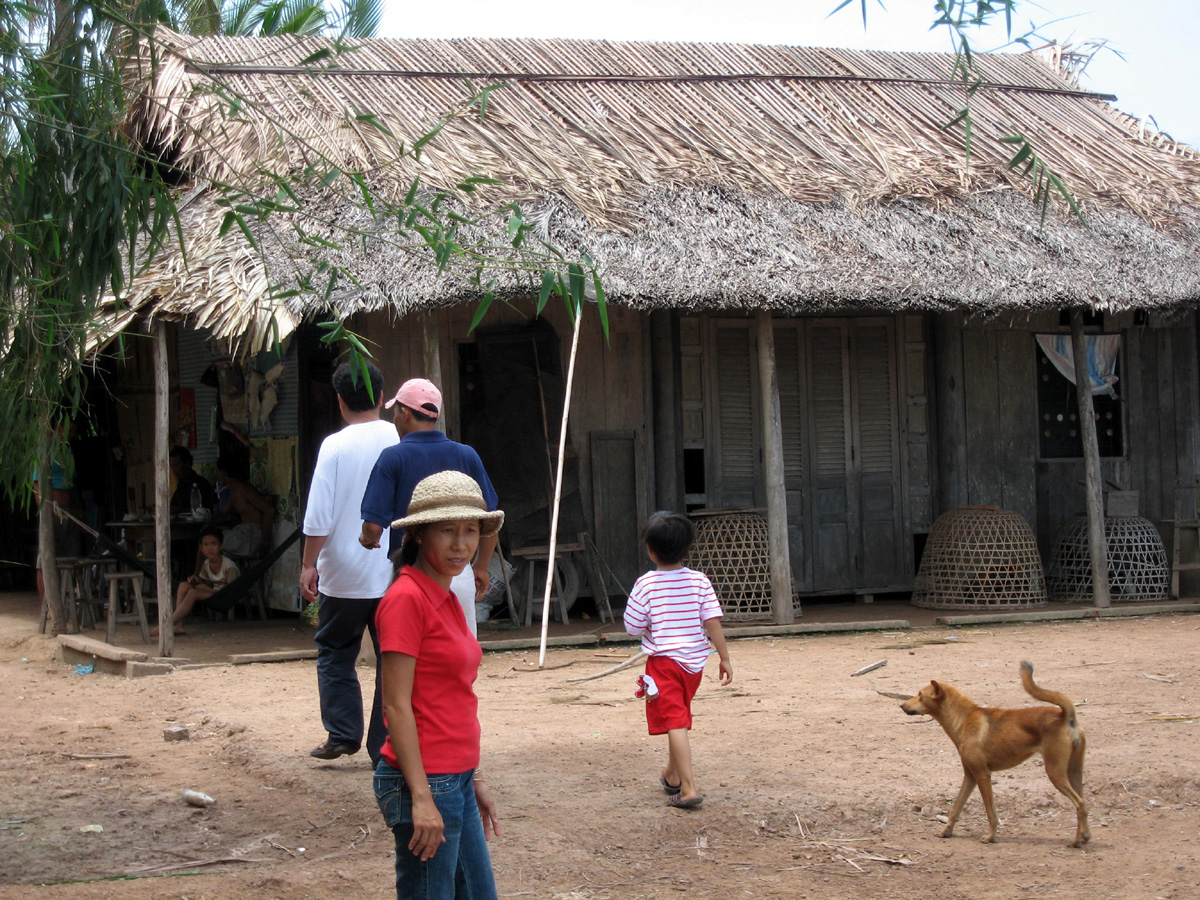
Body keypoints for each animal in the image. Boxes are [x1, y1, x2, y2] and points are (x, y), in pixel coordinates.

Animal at [902, 657, 1089, 849]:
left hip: (1054, 772)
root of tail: (1065, 715)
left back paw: (1076, 840)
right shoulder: (970, 776)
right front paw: (946, 831)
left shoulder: (983, 775)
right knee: (1083, 804)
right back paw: (1083, 837)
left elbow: (991, 813)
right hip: (1074, 771)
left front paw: (990, 837)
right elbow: (956, 807)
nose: (902, 705)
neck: (963, 719)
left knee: (1080, 803)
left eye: (919, 694)